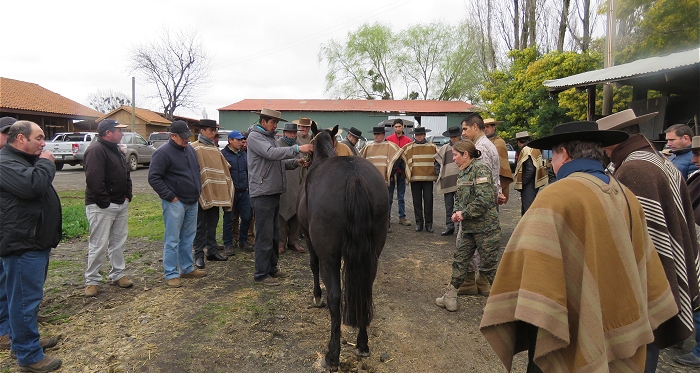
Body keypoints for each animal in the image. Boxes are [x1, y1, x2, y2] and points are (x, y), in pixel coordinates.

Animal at [298, 123, 392, 370]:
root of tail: (354, 177)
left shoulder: (311, 241)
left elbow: (313, 266)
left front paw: (316, 297)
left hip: (329, 256)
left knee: (335, 296)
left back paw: (332, 355)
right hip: (372, 254)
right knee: (366, 287)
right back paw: (362, 344)